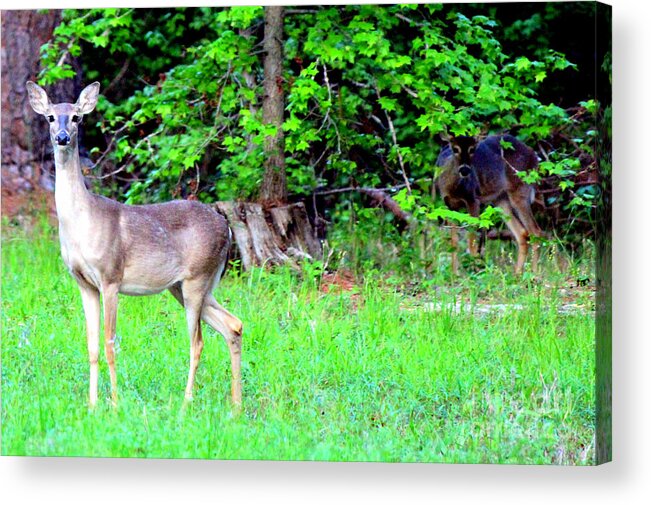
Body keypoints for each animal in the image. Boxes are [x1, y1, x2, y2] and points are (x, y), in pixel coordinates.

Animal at [24, 80, 244, 408]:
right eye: (50, 117)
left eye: (77, 117)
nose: (62, 137)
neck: (81, 223)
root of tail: (227, 228)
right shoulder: (84, 283)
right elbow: (91, 345)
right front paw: (92, 405)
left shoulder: (111, 277)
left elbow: (110, 343)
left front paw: (115, 403)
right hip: (184, 286)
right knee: (233, 325)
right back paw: (236, 405)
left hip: (198, 277)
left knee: (198, 342)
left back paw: (186, 403)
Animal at [438, 134, 544, 274]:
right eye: (455, 149)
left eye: (472, 149)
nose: (465, 169)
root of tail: (534, 156)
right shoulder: (449, 205)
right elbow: (454, 242)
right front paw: (455, 274)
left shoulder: (473, 200)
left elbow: (471, 240)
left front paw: (475, 271)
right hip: (500, 199)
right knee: (521, 232)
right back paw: (517, 274)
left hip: (520, 190)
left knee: (535, 231)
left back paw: (534, 274)